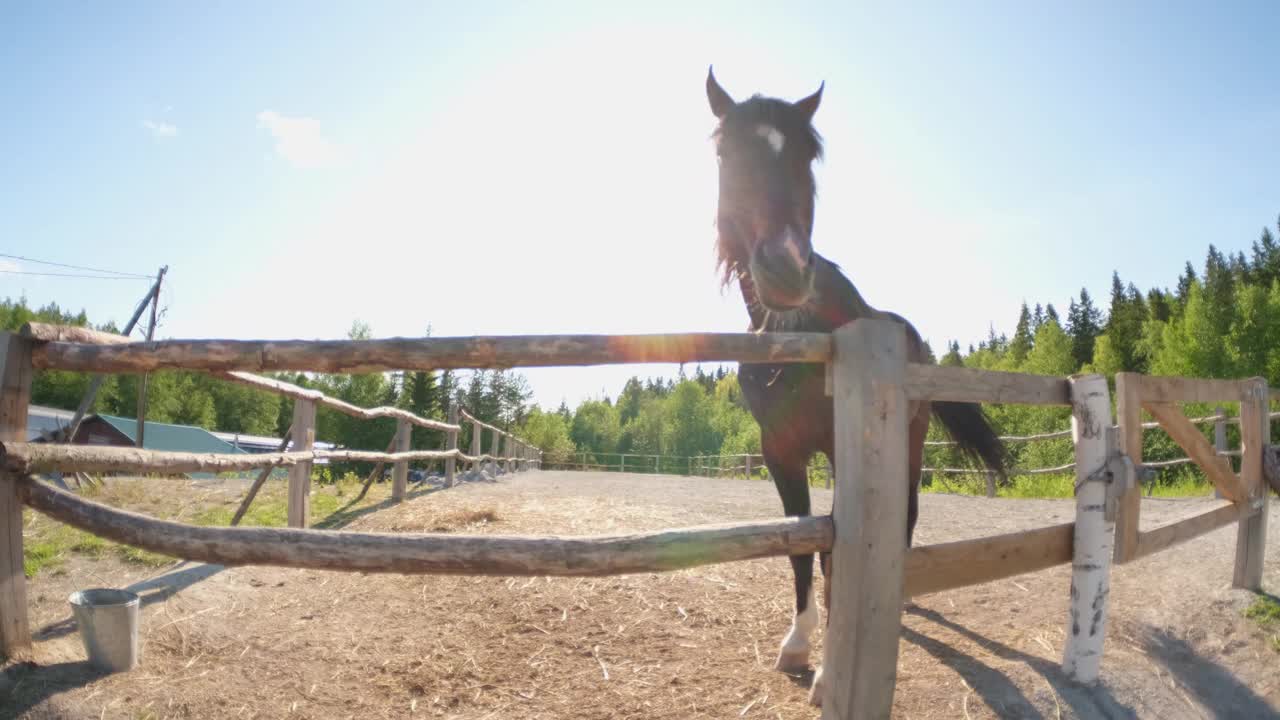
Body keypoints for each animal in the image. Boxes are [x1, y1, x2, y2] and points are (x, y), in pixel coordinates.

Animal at [701, 64, 1008, 702]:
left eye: (808, 155)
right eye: (725, 153)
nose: (785, 269)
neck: (802, 336)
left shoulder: (847, 452)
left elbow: (836, 556)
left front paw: (827, 673)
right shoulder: (780, 451)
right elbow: (800, 547)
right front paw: (797, 646)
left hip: (909, 447)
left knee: (907, 515)